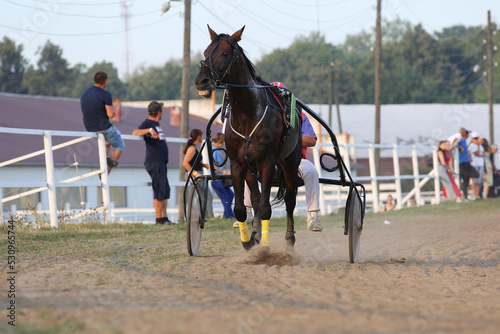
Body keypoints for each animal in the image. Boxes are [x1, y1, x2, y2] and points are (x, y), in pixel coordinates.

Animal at [194, 25, 300, 250]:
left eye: (225, 53)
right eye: (206, 52)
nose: (201, 81)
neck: (247, 113)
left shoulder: (267, 162)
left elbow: (267, 208)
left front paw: (265, 246)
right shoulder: (237, 163)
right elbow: (242, 208)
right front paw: (249, 240)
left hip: (289, 161)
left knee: (290, 198)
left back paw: (289, 239)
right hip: (251, 169)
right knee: (257, 197)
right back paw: (256, 232)